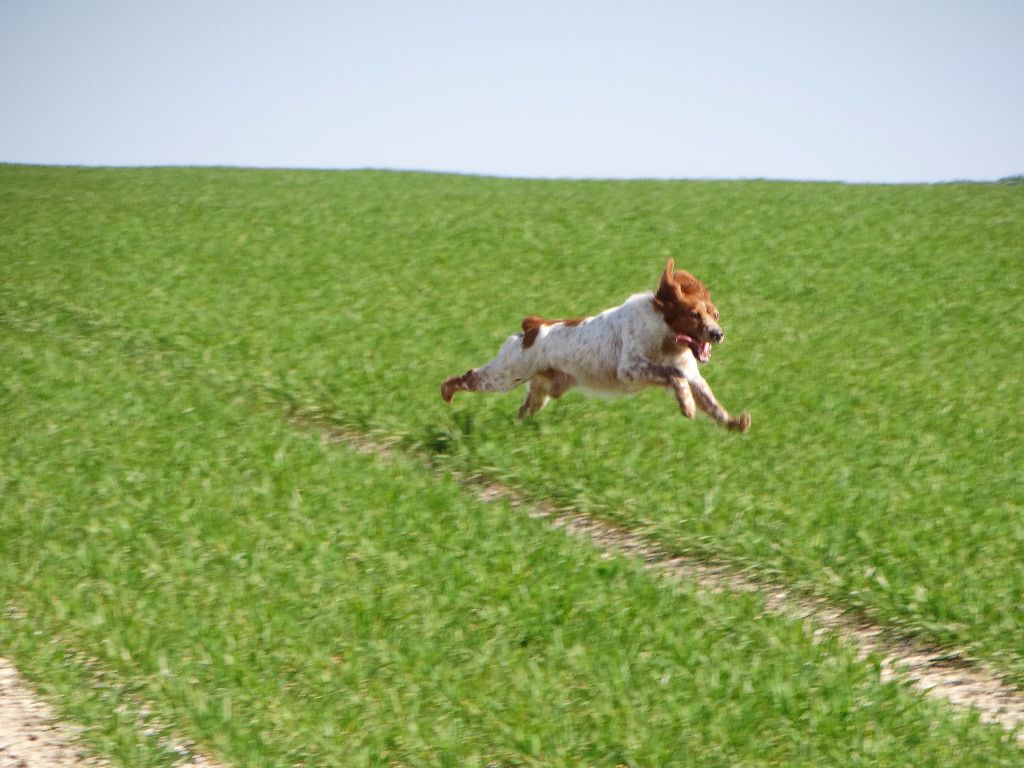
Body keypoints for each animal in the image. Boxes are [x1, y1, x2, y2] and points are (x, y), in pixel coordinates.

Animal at [440, 260, 753, 434]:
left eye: (715, 314)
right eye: (693, 315)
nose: (718, 334)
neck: (666, 336)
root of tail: (533, 326)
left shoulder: (693, 374)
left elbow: (711, 403)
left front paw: (736, 422)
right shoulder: (631, 368)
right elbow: (674, 377)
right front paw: (687, 407)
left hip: (540, 391)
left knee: (522, 409)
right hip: (506, 374)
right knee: (468, 377)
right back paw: (446, 391)